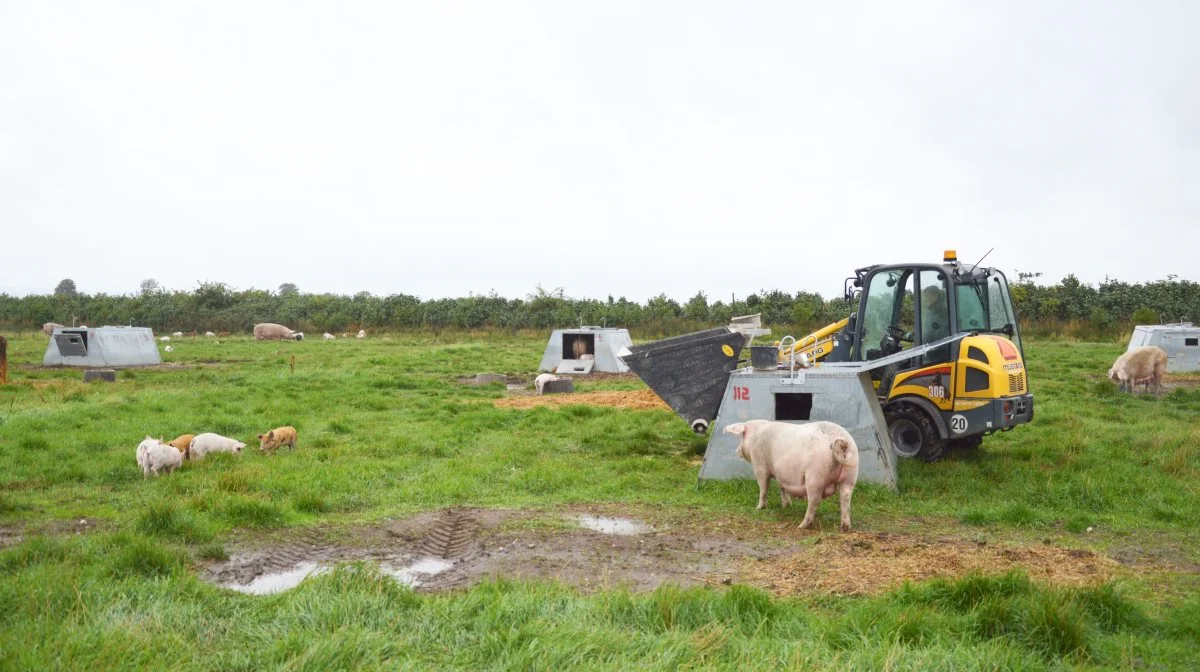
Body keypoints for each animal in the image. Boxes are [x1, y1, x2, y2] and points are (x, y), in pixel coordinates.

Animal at [724, 420, 859, 530]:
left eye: (741, 436)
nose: (737, 451)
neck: (755, 434)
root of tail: (842, 441)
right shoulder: (782, 474)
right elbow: (782, 488)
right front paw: (786, 506)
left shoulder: (759, 466)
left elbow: (763, 488)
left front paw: (758, 508)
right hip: (851, 474)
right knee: (846, 497)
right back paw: (845, 527)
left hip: (815, 476)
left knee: (814, 500)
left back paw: (802, 525)